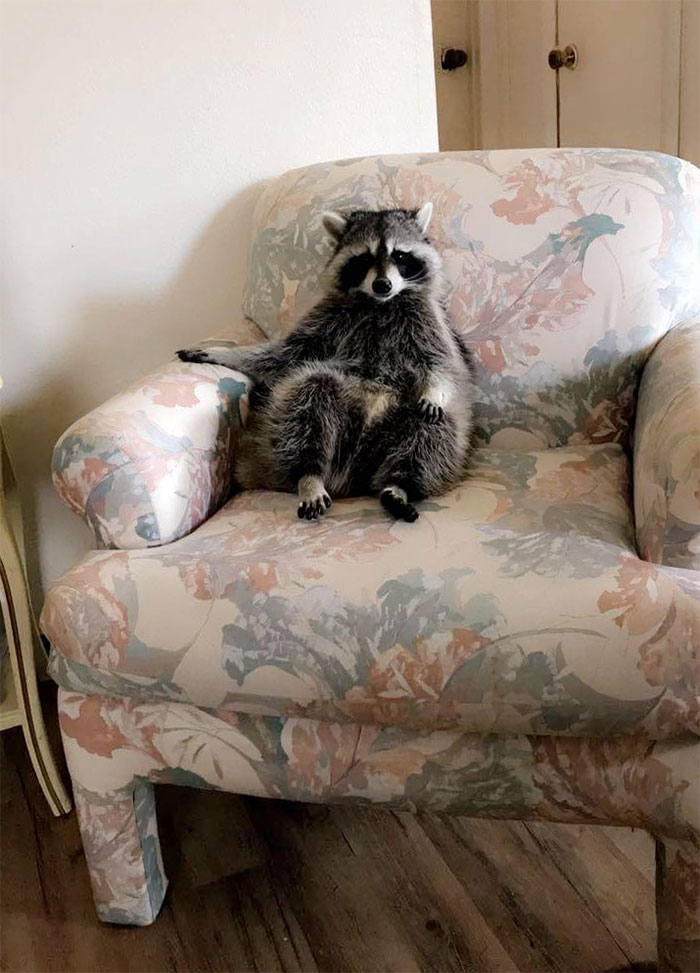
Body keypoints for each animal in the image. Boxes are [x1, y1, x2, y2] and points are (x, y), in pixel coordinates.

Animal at [177, 203, 476, 522]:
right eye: (365, 258)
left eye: (399, 256)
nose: (382, 284)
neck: (379, 304)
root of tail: (349, 479)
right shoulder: (328, 315)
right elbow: (286, 354)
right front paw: (226, 353)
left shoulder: (428, 319)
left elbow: (444, 365)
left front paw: (435, 390)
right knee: (310, 393)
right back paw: (309, 474)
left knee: (436, 429)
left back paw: (401, 484)